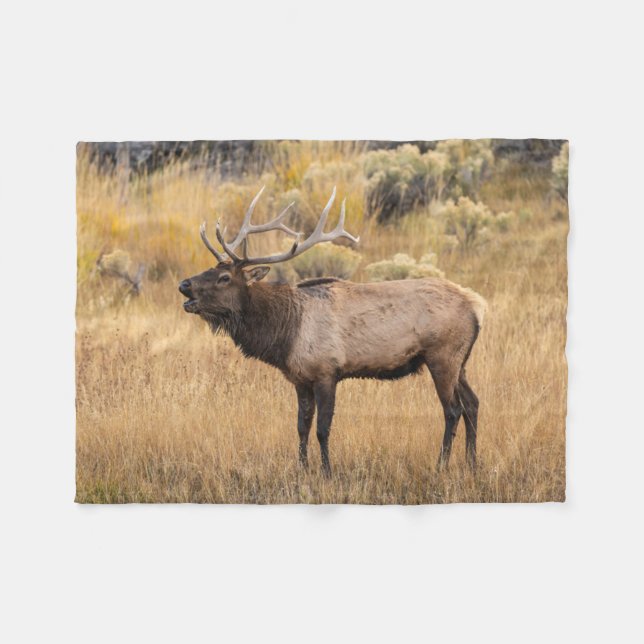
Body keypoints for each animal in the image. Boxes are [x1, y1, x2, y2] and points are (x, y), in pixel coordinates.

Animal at [179, 187, 486, 476]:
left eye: (224, 278)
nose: (184, 284)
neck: (285, 334)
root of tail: (477, 306)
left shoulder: (327, 371)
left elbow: (322, 428)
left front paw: (327, 471)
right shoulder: (300, 378)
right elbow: (301, 426)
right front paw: (302, 468)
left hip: (442, 356)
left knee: (453, 409)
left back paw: (441, 465)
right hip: (460, 361)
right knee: (473, 403)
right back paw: (471, 463)